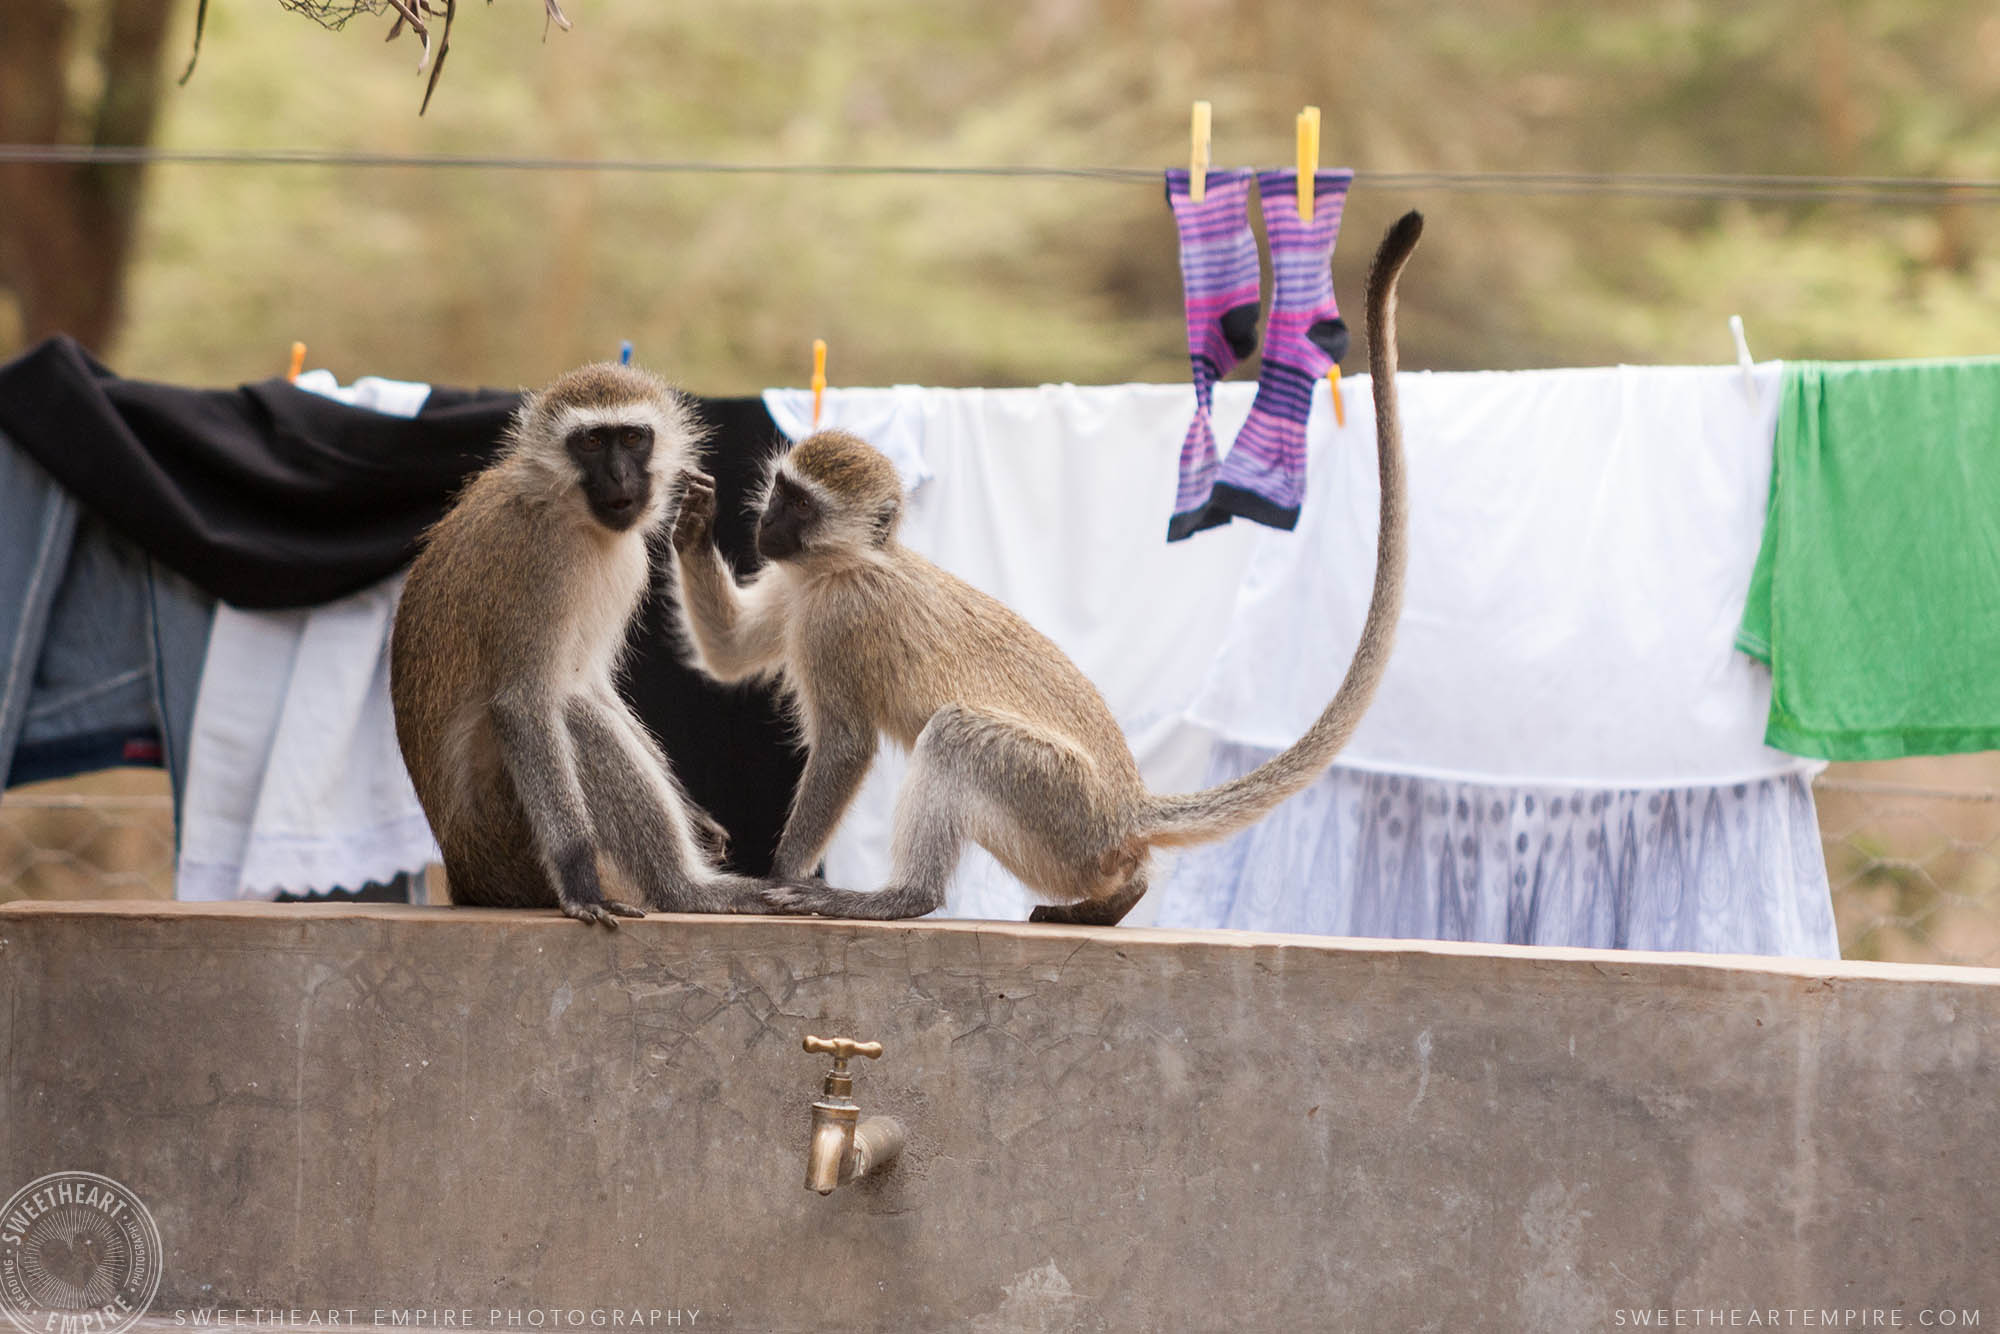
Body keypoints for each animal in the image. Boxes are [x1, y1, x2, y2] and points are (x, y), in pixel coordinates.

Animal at [390, 362, 772, 928]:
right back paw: (687, 890)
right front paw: (580, 880)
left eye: (632, 438)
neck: (563, 507)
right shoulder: (538, 562)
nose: (619, 478)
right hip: (510, 844)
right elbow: (525, 705)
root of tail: (466, 875)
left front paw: (695, 816)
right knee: (570, 713)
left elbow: (591, 682)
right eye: (591, 442)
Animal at [680, 214, 1432, 928]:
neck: (844, 564)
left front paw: (779, 875)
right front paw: (688, 516)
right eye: (781, 491)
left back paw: (902, 897)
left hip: (1059, 807)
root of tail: (1129, 808)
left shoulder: (841, 619)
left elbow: (843, 747)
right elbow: (731, 653)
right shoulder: (794, 584)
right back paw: (1115, 898)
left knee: (956, 738)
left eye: (801, 504)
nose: (765, 525)